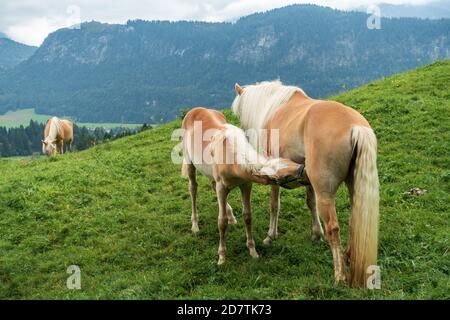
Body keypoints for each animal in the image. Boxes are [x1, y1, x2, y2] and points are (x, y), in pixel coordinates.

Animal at [181, 107, 308, 264]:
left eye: (291, 162)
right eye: (286, 176)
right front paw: (222, 257)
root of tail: (194, 110)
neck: (232, 158)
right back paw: (195, 225)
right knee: (193, 188)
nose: (308, 174)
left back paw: (231, 216)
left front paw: (253, 251)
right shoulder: (222, 187)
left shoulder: (246, 185)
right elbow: (221, 221)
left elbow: (248, 216)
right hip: (189, 162)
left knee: (211, 184)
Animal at [232, 80, 380, 288]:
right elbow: (311, 203)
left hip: (325, 193)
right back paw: (347, 256)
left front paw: (271, 235)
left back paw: (339, 275)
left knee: (334, 228)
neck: (275, 107)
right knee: (353, 220)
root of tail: (355, 126)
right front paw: (316, 234)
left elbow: (274, 205)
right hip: (352, 187)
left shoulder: (275, 173)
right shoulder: (308, 178)